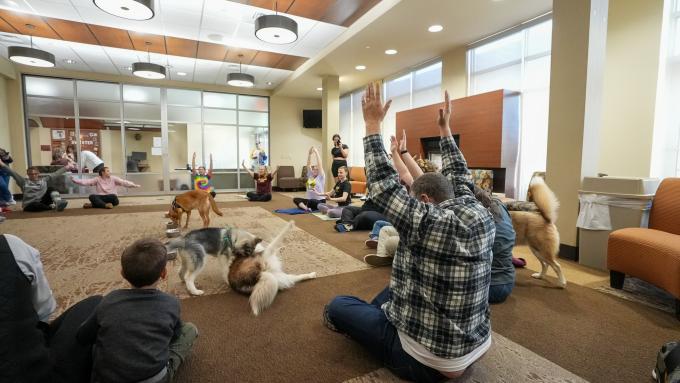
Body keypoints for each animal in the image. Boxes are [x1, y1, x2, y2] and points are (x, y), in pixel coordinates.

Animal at [165, 222, 316, 316]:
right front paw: (290, 225)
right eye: (247, 251)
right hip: (200, 259)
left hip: (187, 260)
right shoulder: (224, 256)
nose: (250, 256)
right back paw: (195, 291)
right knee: (188, 276)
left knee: (181, 272)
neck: (232, 238)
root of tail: (183, 240)